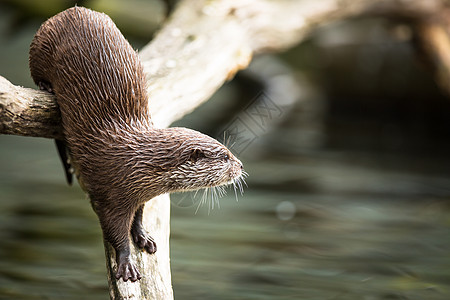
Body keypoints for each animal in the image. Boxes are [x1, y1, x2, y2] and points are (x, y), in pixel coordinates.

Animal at [29, 7, 244, 284]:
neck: (136, 163)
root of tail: (73, 9)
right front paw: (126, 263)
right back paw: (45, 85)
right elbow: (115, 230)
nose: (241, 165)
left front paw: (143, 236)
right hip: (40, 45)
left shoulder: (139, 193)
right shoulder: (111, 194)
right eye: (225, 156)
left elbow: (139, 215)